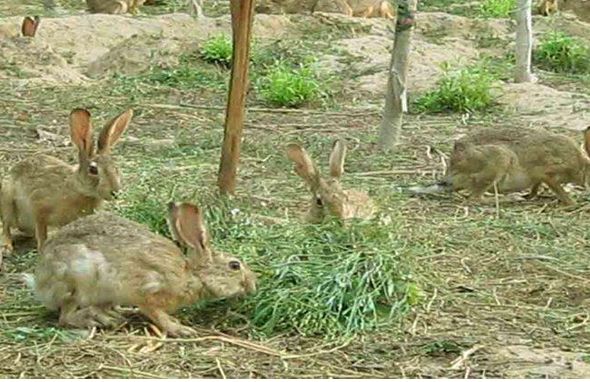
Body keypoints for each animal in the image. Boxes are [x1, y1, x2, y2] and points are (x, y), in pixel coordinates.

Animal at [412, 127, 590, 206]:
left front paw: (531, 196)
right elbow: (557, 189)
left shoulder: (539, 178)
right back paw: (511, 198)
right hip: (498, 160)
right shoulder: (548, 173)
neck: (582, 163)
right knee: (476, 199)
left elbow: (535, 187)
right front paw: (572, 203)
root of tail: (451, 176)